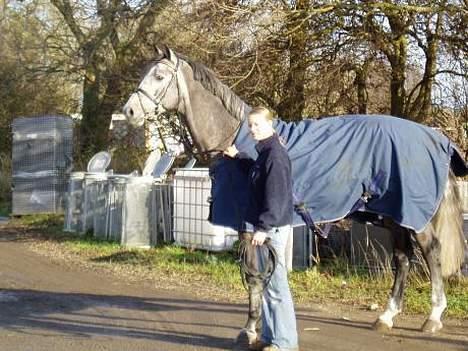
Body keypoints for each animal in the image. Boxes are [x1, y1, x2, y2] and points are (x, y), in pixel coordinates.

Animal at [122, 46, 466, 340]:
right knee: (403, 259)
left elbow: (254, 277)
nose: (129, 111)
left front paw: (250, 329)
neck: (242, 142)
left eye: (159, 76)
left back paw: (433, 316)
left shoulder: (251, 226)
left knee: (431, 253)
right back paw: (387, 316)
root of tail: (434, 137)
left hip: (416, 216)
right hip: (395, 216)